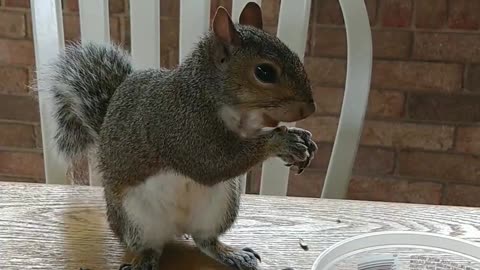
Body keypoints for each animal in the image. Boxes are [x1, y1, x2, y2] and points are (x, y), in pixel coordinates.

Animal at [41, 3, 316, 270]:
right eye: (264, 72)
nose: (309, 109)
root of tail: (177, 228)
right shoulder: (178, 128)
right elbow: (212, 165)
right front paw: (281, 142)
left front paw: (302, 138)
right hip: (135, 219)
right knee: (151, 247)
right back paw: (144, 262)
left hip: (221, 205)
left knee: (205, 240)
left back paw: (232, 255)